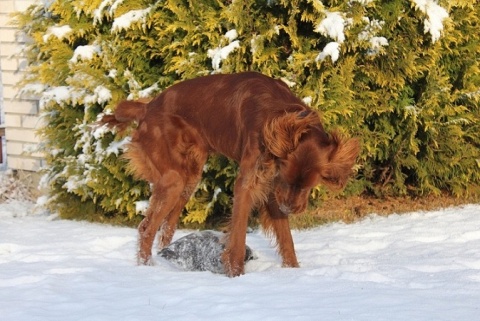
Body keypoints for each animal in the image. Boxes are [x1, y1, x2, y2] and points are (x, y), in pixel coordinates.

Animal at [99, 72, 358, 276]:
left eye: (308, 185)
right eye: (288, 179)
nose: (289, 209)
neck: (279, 115)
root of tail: (148, 107)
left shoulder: (272, 186)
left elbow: (286, 240)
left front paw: (294, 273)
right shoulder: (250, 183)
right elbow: (238, 236)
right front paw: (236, 275)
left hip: (189, 179)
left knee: (166, 228)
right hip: (174, 179)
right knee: (146, 228)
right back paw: (148, 270)